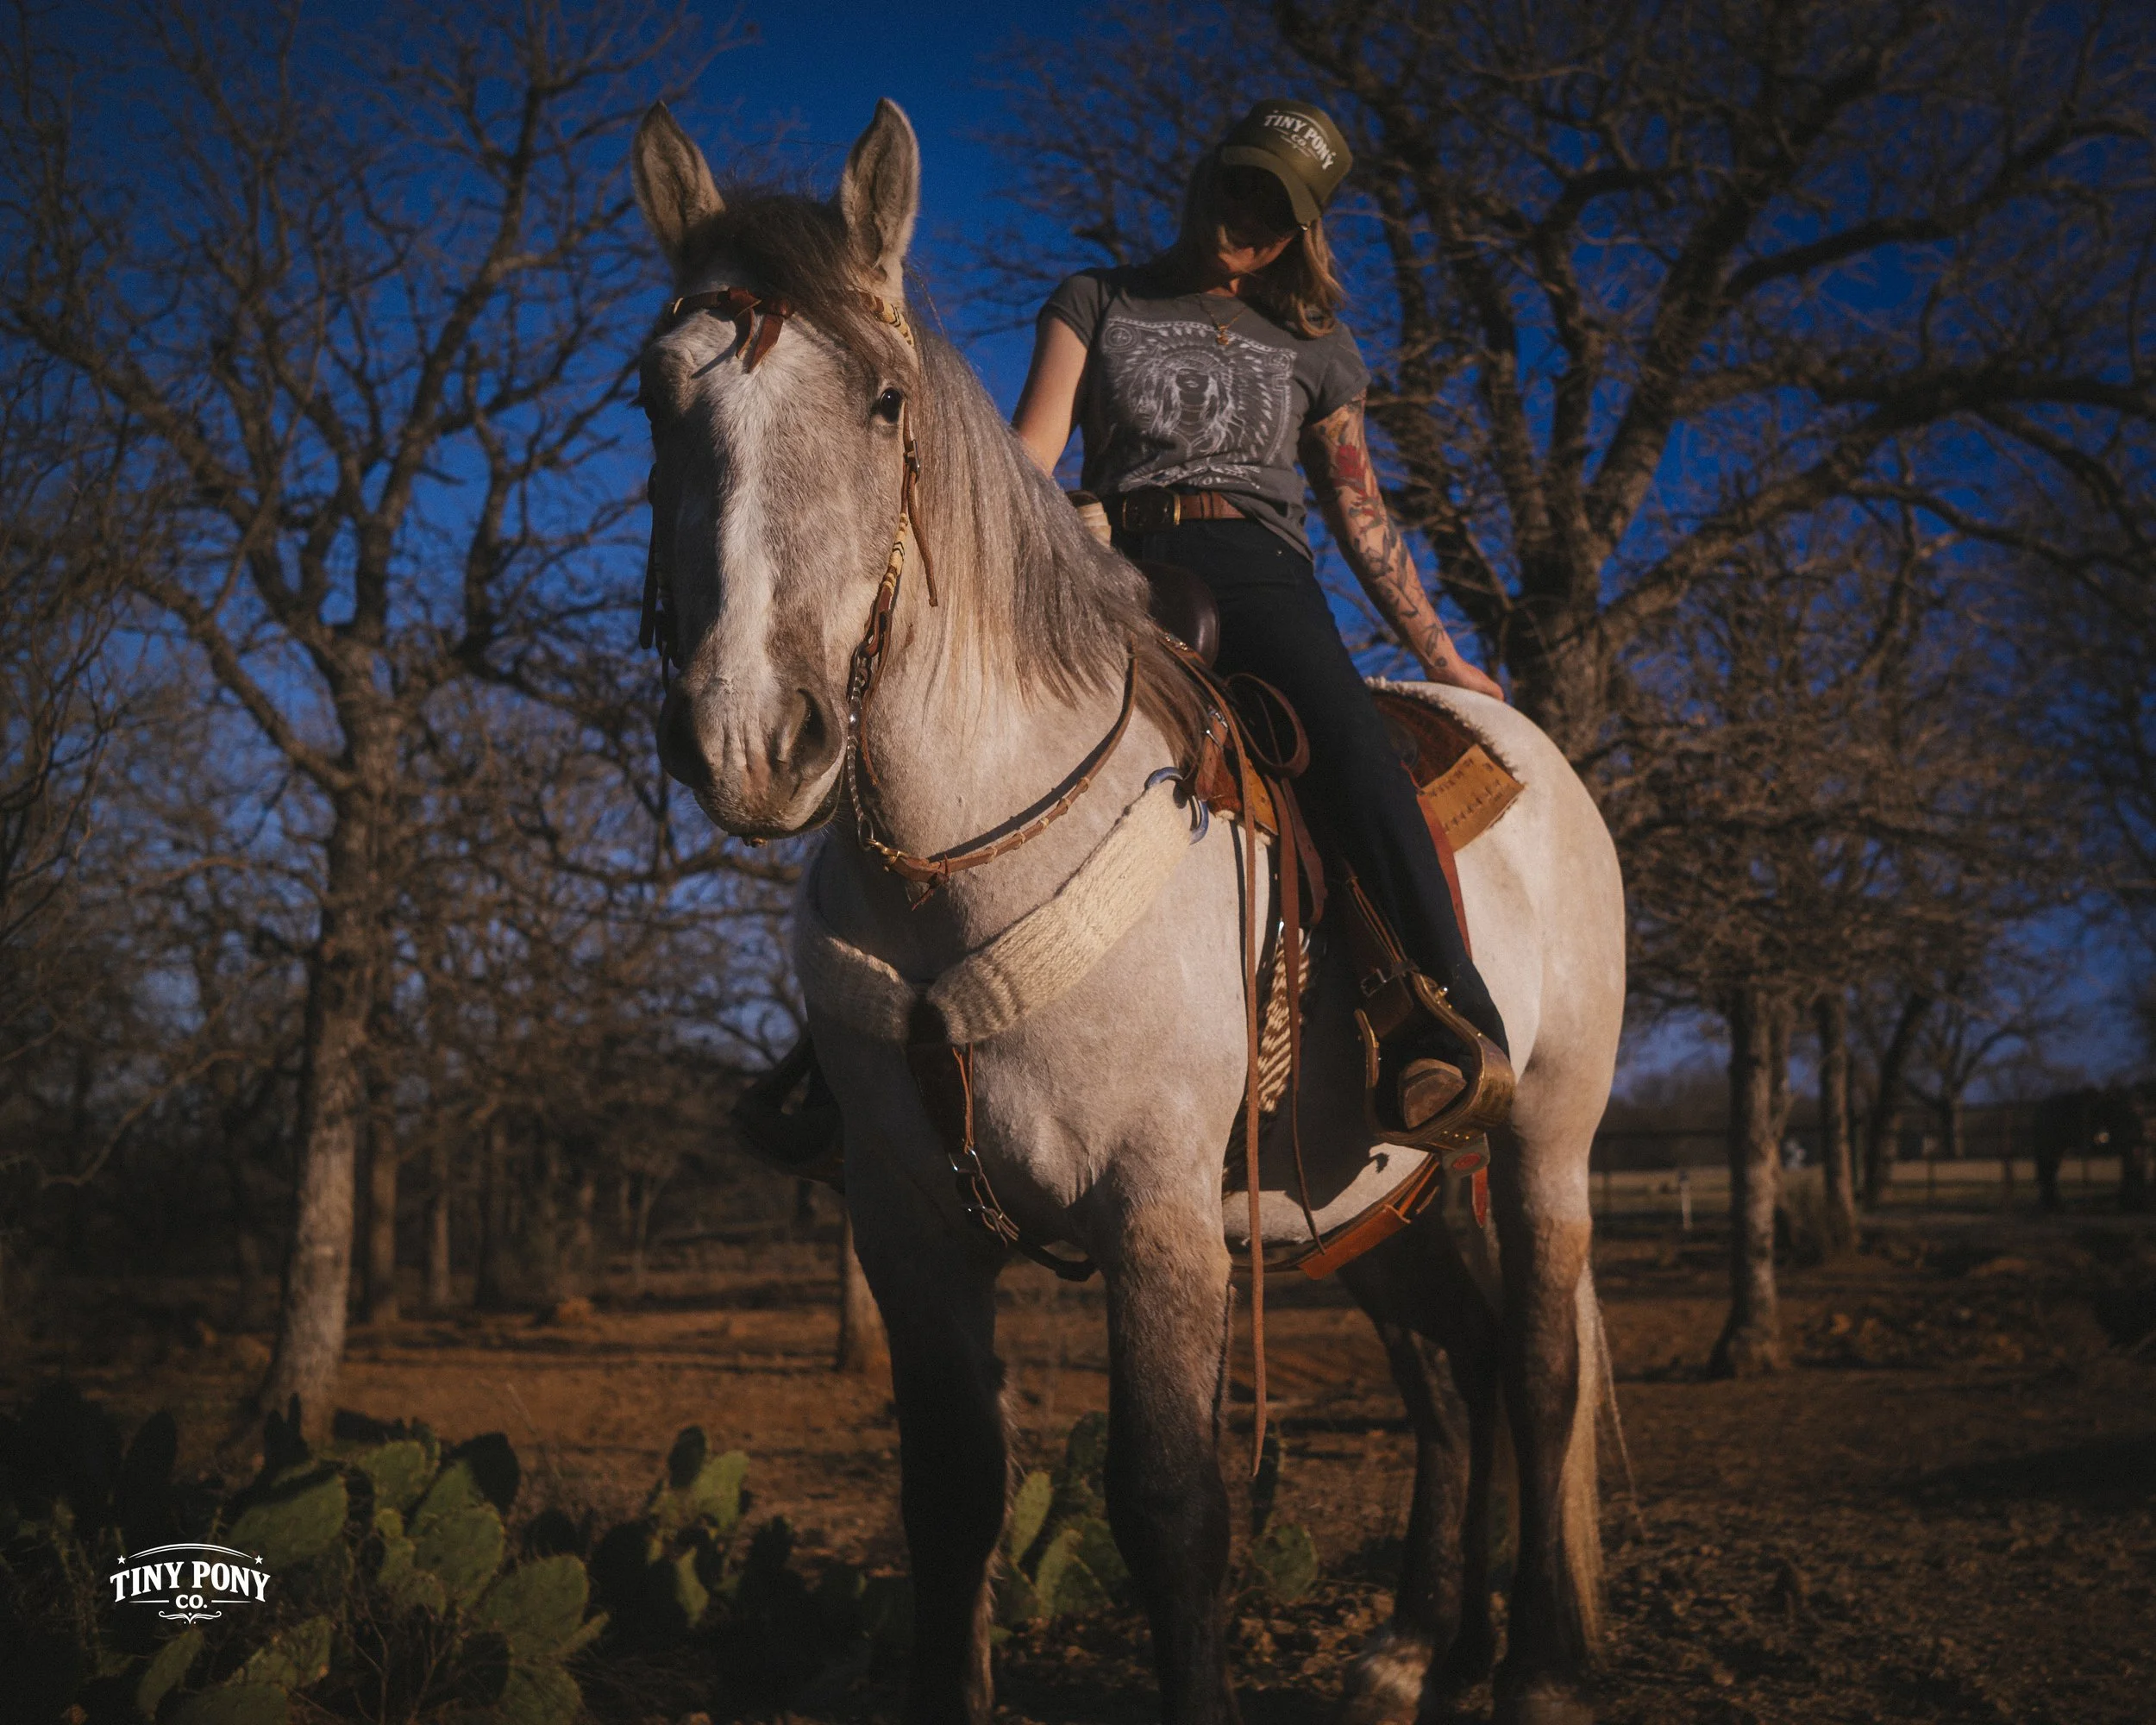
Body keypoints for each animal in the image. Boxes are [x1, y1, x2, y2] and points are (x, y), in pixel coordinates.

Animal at [628, 97, 1626, 1725]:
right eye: (652, 399)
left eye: (888, 401)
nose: (750, 740)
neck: (964, 856)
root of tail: (1526, 741)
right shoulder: (908, 1228)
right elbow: (954, 1501)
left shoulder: (1155, 1209)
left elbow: (1169, 1511)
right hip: (1370, 1199)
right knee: (1455, 1369)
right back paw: (1420, 1649)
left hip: (1546, 1134)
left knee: (1535, 1374)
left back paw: (1538, 1670)